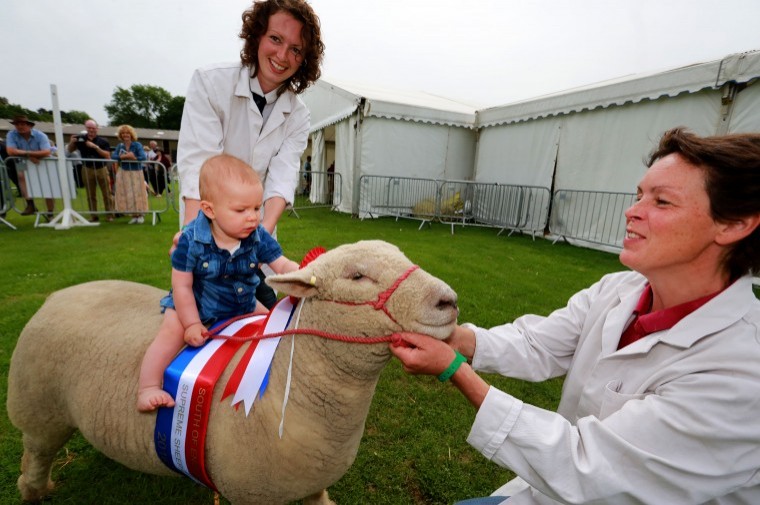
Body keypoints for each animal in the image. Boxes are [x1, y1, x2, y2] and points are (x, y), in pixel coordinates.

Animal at [5, 240, 458, 504]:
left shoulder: (314, 483)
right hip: (38, 411)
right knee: (37, 454)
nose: (449, 301)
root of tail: (58, 294)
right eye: (357, 276)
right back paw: (35, 491)